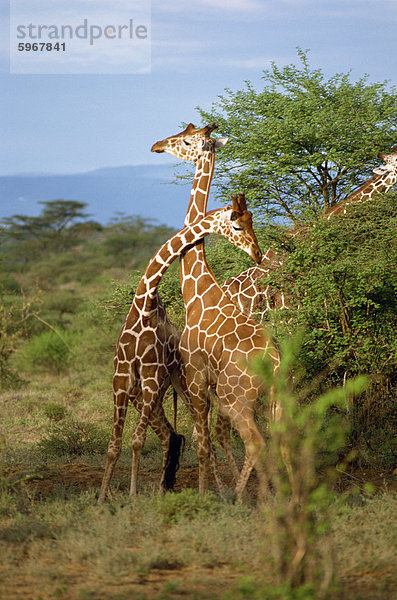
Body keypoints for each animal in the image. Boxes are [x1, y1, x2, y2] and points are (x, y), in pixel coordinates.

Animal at [97, 199, 262, 504]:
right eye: (238, 225)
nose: (257, 254)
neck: (144, 307)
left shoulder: (150, 377)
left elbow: (136, 441)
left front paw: (133, 495)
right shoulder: (122, 377)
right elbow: (114, 445)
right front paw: (102, 499)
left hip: (182, 387)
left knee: (199, 437)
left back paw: (220, 490)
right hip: (150, 393)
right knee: (172, 435)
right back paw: (167, 486)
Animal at [151, 124, 278, 500]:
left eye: (187, 140)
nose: (157, 145)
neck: (198, 292)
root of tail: (275, 363)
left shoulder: (196, 376)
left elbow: (202, 441)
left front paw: (206, 493)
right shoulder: (206, 385)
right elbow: (206, 437)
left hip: (238, 399)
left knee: (255, 443)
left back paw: (245, 497)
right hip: (275, 399)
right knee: (278, 439)